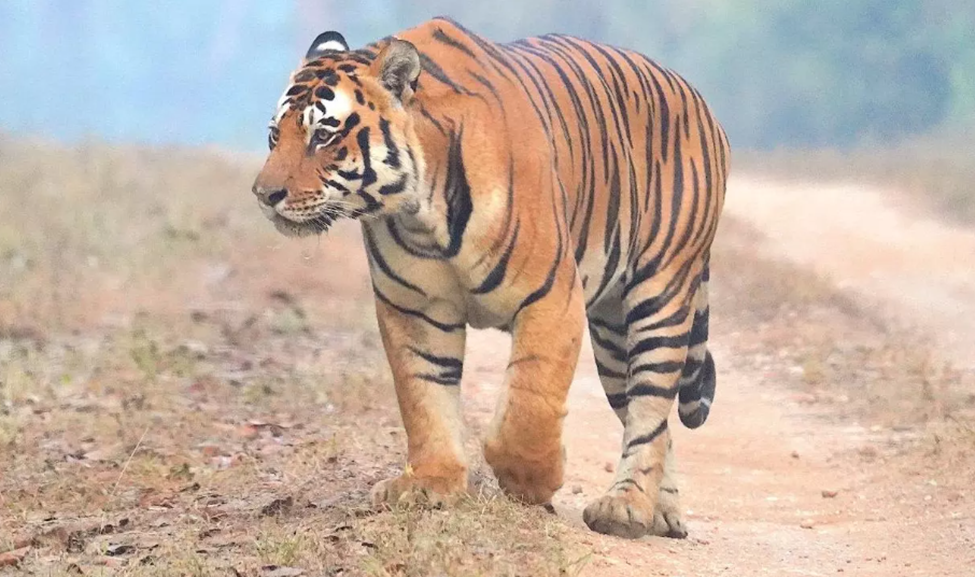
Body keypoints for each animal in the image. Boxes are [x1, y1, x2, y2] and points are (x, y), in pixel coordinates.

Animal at [251, 17, 730, 540]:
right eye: (274, 136)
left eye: (323, 136)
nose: (264, 194)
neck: (421, 211)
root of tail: (698, 98)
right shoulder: (414, 309)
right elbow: (424, 397)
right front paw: (430, 483)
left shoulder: (551, 298)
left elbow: (529, 402)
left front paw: (532, 480)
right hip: (611, 331)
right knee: (657, 424)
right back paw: (662, 511)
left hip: (660, 294)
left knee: (650, 406)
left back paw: (626, 507)